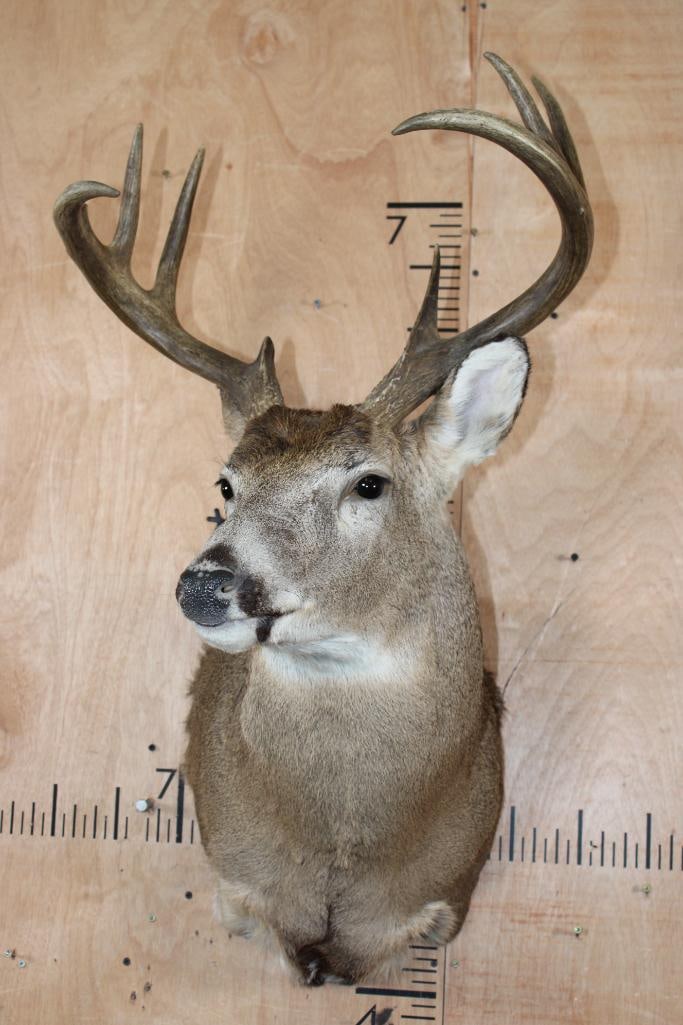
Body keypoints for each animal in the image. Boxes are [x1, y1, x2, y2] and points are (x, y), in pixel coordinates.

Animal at [54, 53, 592, 986]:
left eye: (368, 484)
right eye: (226, 482)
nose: (207, 582)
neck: (347, 846)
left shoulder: (438, 903)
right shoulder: (239, 888)